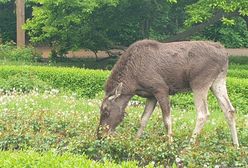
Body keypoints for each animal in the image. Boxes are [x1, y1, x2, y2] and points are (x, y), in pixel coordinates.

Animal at [96, 39, 238, 146]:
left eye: (106, 111)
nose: (99, 135)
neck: (132, 84)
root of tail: (224, 54)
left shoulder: (161, 89)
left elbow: (167, 120)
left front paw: (170, 143)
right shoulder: (151, 95)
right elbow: (143, 119)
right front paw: (136, 141)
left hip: (199, 82)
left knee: (203, 113)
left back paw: (188, 146)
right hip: (218, 81)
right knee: (229, 110)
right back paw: (236, 145)